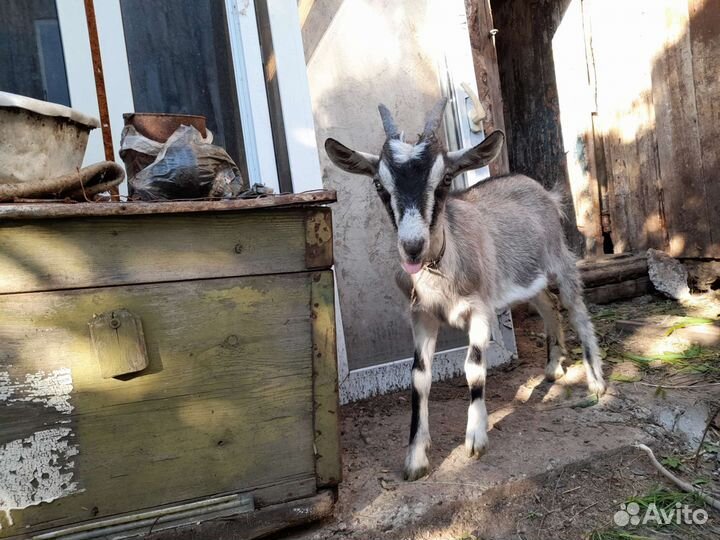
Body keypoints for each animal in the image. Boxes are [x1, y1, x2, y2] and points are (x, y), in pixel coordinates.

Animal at [325, 99, 606, 481]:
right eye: (380, 185)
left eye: (445, 179)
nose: (413, 246)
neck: (441, 270)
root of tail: (539, 187)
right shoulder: (422, 317)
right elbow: (418, 377)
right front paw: (416, 459)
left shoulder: (481, 311)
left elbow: (473, 368)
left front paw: (475, 439)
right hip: (523, 276)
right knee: (548, 304)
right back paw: (552, 366)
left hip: (559, 260)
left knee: (577, 310)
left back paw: (596, 383)